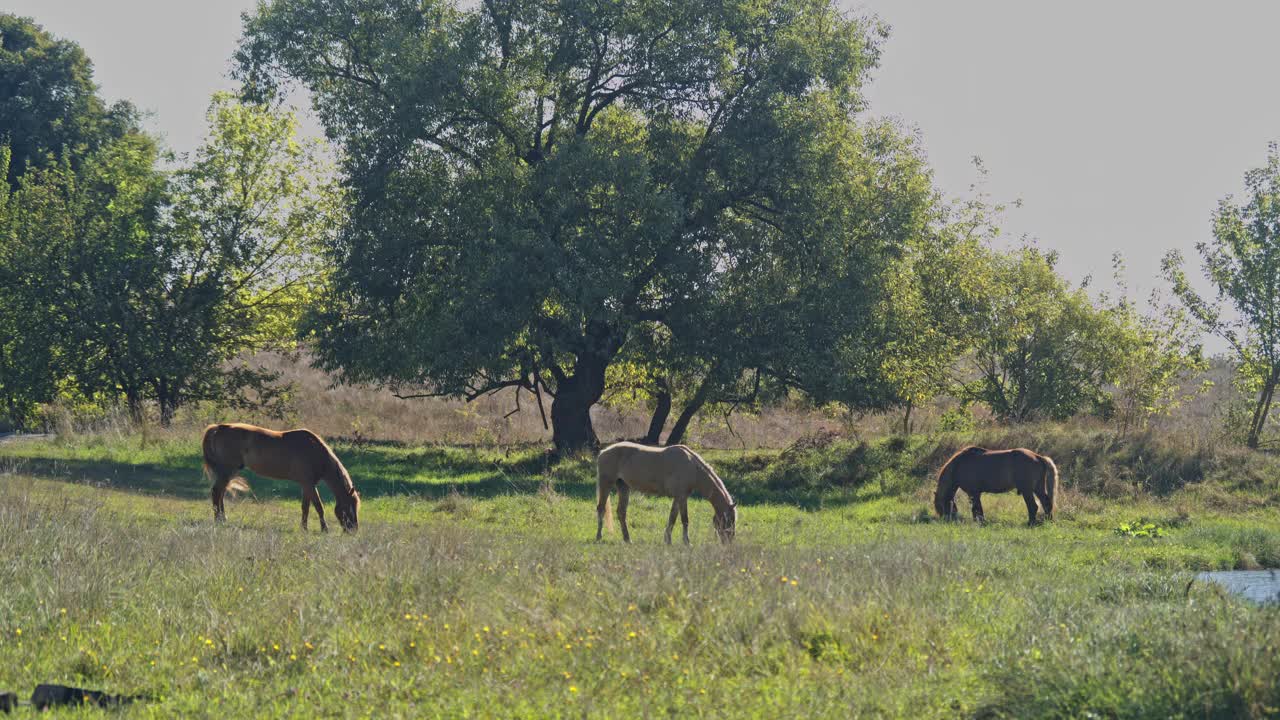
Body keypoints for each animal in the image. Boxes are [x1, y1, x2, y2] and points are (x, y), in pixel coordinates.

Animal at [202, 422, 360, 530]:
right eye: (350, 506)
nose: (353, 530)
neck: (315, 452)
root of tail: (220, 427)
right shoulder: (309, 484)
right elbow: (318, 506)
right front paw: (324, 529)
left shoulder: (306, 485)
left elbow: (306, 507)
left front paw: (304, 528)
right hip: (227, 471)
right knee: (216, 492)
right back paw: (219, 520)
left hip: (226, 473)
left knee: (220, 493)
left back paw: (222, 519)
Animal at [931, 443, 1059, 520]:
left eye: (940, 506)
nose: (946, 520)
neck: (959, 465)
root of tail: (1038, 457)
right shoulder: (976, 494)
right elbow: (978, 509)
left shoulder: (973, 493)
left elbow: (976, 509)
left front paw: (980, 522)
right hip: (1038, 488)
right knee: (1046, 503)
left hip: (1027, 490)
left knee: (1033, 506)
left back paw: (1031, 523)